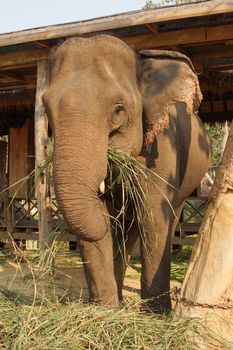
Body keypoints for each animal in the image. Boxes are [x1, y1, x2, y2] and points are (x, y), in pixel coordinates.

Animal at [42, 34, 211, 310]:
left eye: (118, 109)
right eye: (45, 108)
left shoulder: (163, 147)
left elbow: (154, 217)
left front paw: (155, 313)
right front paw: (106, 309)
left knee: (161, 218)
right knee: (126, 231)